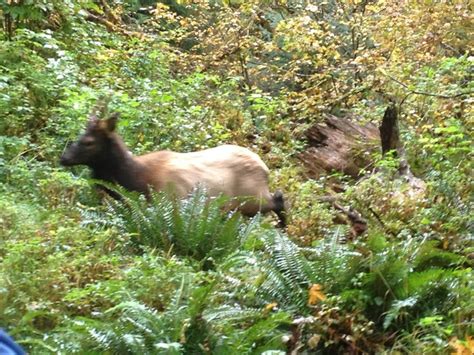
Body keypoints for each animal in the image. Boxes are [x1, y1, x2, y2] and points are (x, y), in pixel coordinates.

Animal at [61, 107, 286, 228]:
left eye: (88, 142)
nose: (63, 158)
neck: (134, 180)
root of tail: (265, 168)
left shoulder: (171, 200)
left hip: (252, 199)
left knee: (279, 199)